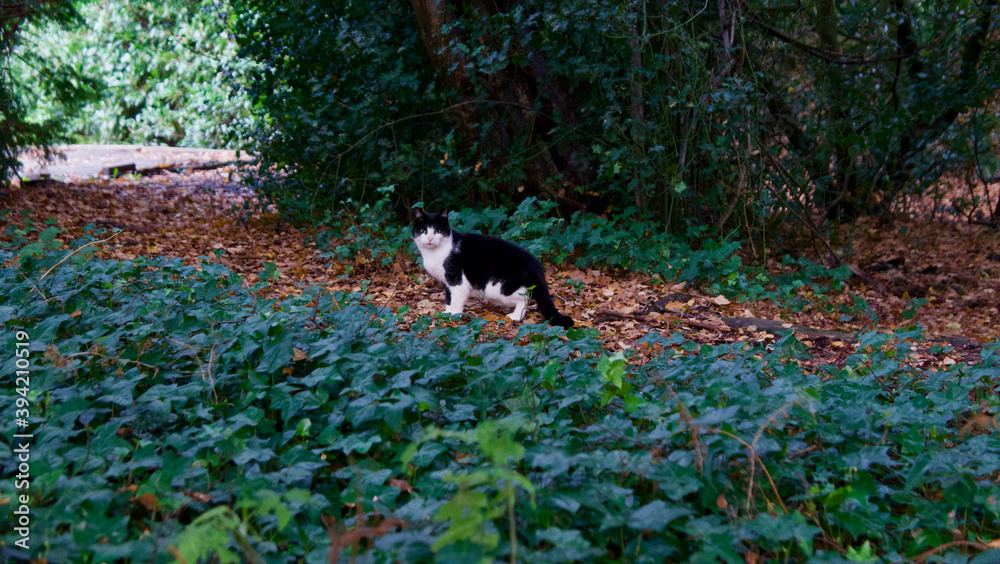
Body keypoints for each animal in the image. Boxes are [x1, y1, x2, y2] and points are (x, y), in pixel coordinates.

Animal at [412, 209, 572, 328]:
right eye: (423, 230)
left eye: (438, 230)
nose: (430, 239)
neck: (434, 254)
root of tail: (535, 263)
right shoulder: (446, 283)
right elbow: (448, 299)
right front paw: (446, 313)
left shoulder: (457, 281)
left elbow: (456, 300)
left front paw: (454, 316)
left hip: (500, 288)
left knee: (526, 296)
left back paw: (515, 316)